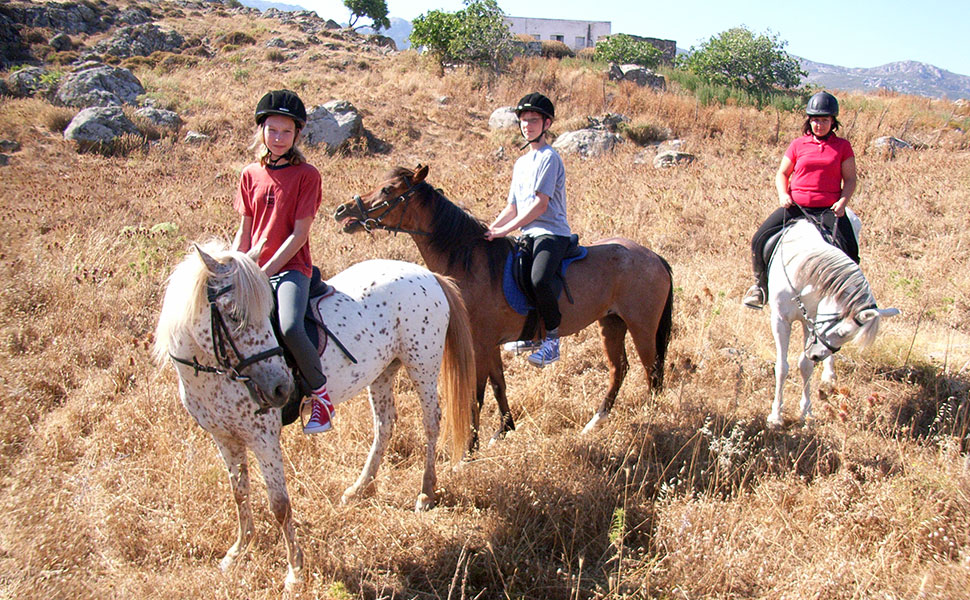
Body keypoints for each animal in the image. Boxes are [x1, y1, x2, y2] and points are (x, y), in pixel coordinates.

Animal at [153, 243, 474, 592]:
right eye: (235, 317)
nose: (280, 388)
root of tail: (429, 275)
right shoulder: (224, 438)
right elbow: (239, 494)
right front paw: (238, 551)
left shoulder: (263, 439)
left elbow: (279, 504)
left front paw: (295, 571)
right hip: (382, 372)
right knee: (385, 425)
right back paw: (359, 488)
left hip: (422, 366)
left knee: (431, 423)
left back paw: (426, 492)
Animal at [334, 163, 672, 440]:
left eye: (388, 190)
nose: (342, 210)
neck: (469, 262)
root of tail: (653, 257)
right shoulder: (489, 343)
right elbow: (498, 384)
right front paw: (503, 430)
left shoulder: (480, 343)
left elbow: (477, 393)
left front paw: (469, 451)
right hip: (611, 322)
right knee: (620, 369)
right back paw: (596, 422)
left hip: (641, 326)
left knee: (652, 370)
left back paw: (653, 416)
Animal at [764, 211, 900, 426]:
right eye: (842, 332)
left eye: (847, 337)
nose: (816, 355)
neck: (802, 273)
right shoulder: (780, 320)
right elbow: (782, 367)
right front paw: (776, 416)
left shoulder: (810, 322)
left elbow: (805, 366)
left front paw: (806, 412)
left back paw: (829, 375)